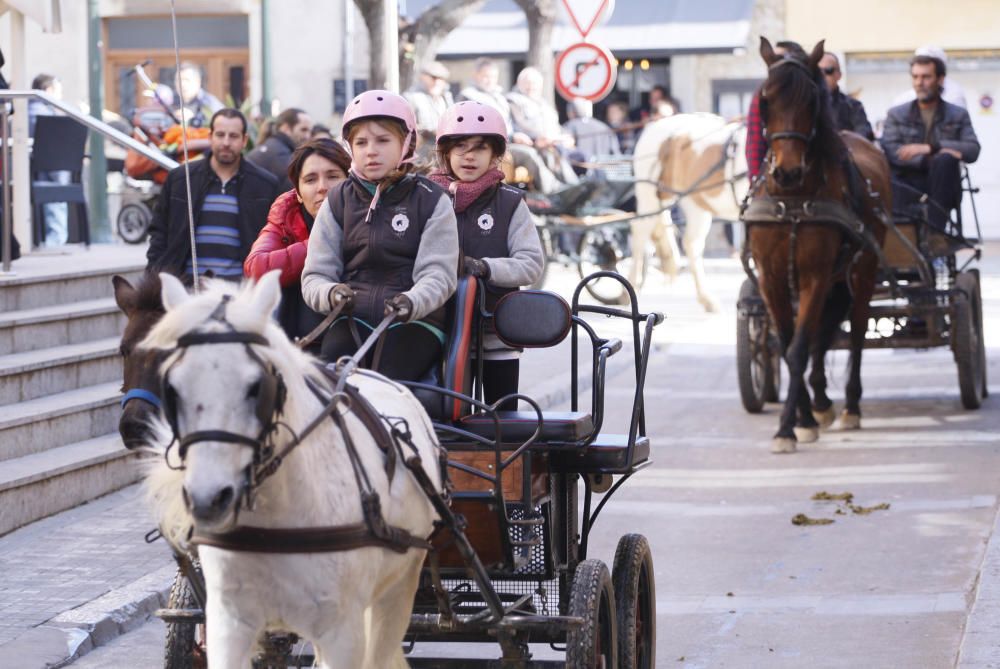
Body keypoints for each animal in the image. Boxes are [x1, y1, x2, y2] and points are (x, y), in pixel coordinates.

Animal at [141, 272, 442, 668]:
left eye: (257, 387)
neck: (278, 518)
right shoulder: (229, 622)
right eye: (173, 388)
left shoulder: (342, 632)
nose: (208, 499)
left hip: (398, 587)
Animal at [628, 113, 748, 312]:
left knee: (692, 243)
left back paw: (706, 298)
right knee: (640, 232)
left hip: (693, 202)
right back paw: (633, 284)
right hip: (649, 195)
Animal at [752, 37, 892, 454]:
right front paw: (803, 419)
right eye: (765, 99)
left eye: (811, 101)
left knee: (857, 330)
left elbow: (798, 348)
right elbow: (789, 345)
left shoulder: (814, 275)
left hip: (862, 270)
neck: (792, 199)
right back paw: (820, 403)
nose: (787, 170)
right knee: (821, 333)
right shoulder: (771, 278)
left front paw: (787, 427)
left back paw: (850, 407)